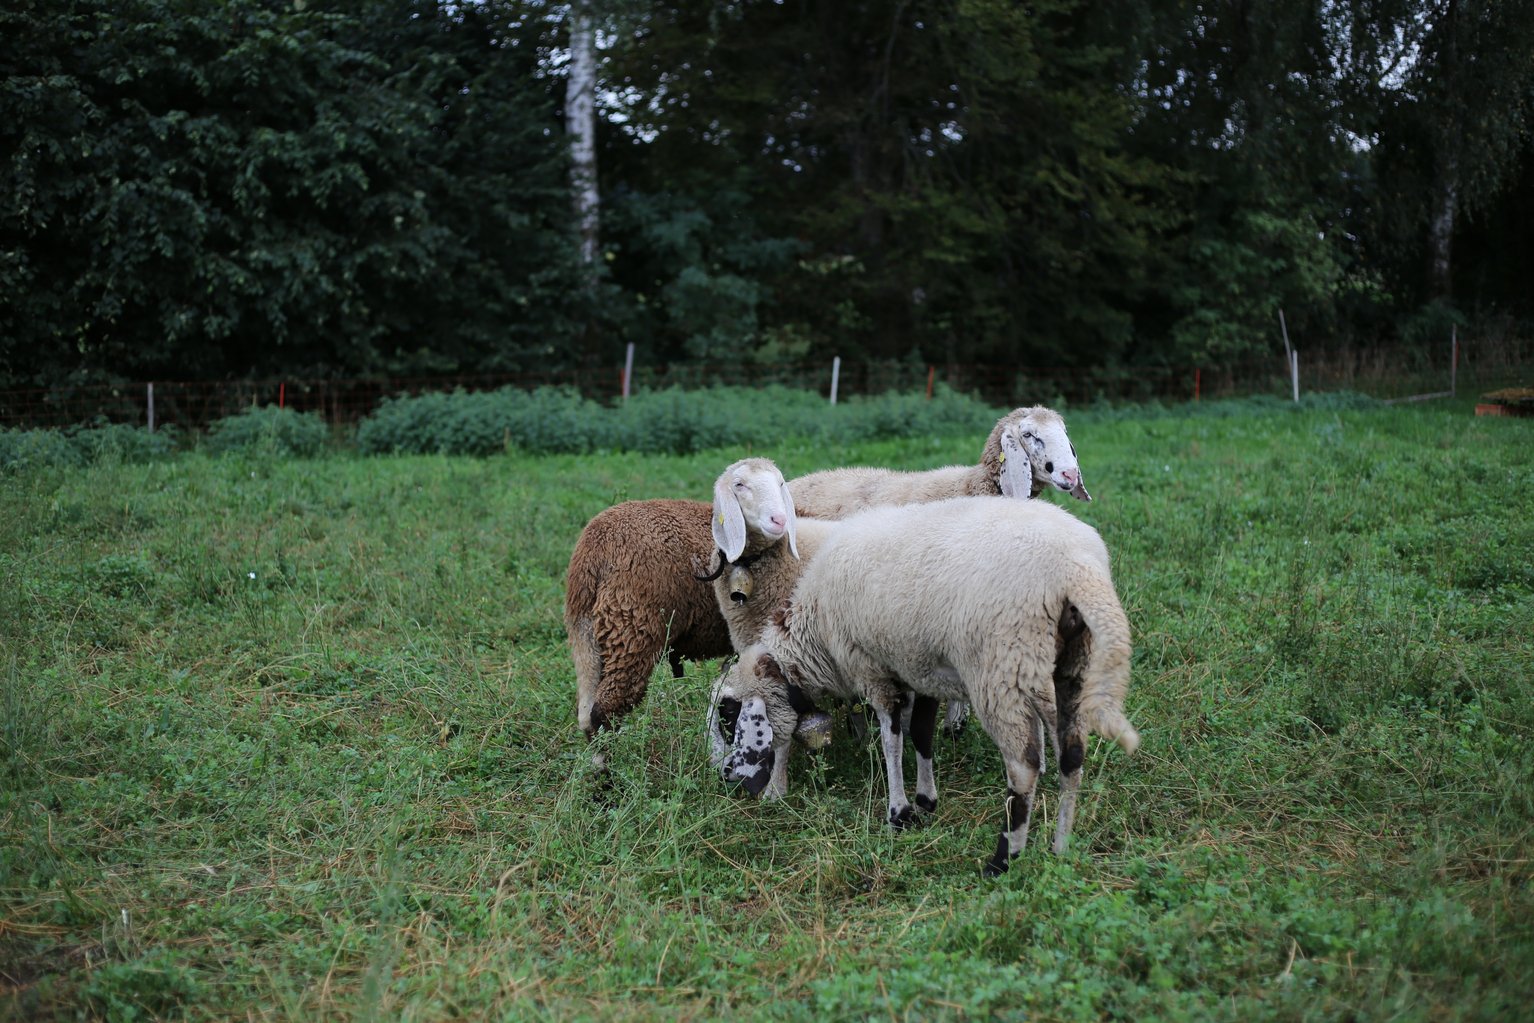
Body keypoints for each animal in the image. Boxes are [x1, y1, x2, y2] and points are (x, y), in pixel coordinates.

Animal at [710, 496, 1139, 876]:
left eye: (728, 716)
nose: (726, 774)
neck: (815, 637)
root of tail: (1076, 567)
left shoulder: (874, 670)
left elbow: (892, 741)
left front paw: (898, 813)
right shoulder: (919, 668)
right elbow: (921, 734)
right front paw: (925, 799)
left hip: (1002, 667)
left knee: (1023, 767)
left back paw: (1004, 860)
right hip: (1068, 666)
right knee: (1072, 754)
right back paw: (1061, 847)